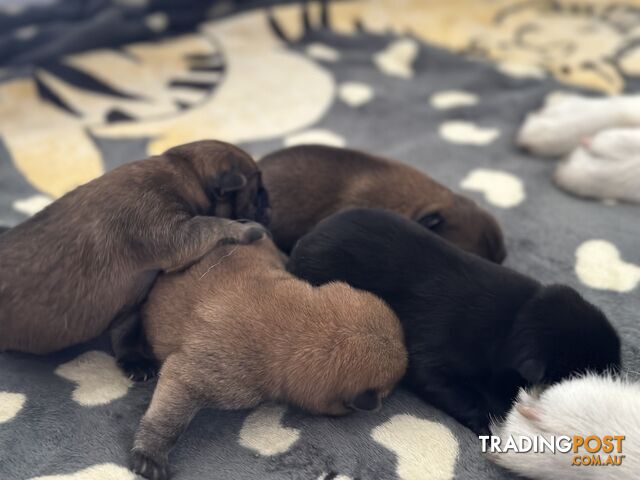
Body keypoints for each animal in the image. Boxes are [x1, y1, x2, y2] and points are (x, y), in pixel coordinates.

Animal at [0, 142, 268, 376]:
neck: (184, 170)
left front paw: (135, 361)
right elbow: (209, 224)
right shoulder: (174, 233)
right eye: (257, 194)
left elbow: (126, 332)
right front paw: (246, 229)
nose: (269, 206)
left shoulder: (130, 304)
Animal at [288, 208, 620, 434]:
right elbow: (452, 389)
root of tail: (304, 239)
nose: (617, 375)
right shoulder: (432, 356)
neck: (516, 318)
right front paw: (487, 420)